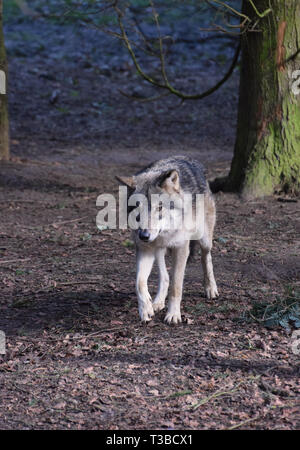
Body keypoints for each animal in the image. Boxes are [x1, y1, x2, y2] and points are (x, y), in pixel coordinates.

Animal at [116, 155, 218, 324]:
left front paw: (173, 315)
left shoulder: (181, 248)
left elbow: (176, 286)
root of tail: (188, 158)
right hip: (158, 251)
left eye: (159, 207)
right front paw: (146, 309)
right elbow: (139, 283)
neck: (165, 233)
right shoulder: (144, 250)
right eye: (137, 208)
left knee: (206, 257)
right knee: (164, 276)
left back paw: (211, 288)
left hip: (204, 239)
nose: (143, 236)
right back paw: (157, 302)